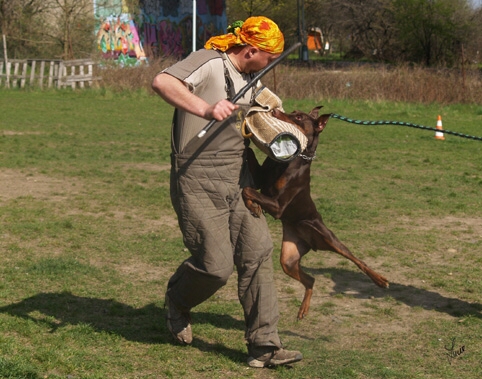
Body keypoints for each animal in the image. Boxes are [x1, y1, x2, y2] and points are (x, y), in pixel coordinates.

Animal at [243, 106, 390, 320]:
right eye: (293, 110)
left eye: (298, 117)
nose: (276, 110)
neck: (291, 161)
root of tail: (311, 244)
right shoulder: (262, 180)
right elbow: (249, 180)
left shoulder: (278, 206)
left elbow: (248, 189)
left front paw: (254, 205)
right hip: (288, 259)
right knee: (310, 280)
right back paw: (303, 309)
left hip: (327, 237)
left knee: (356, 259)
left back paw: (380, 280)